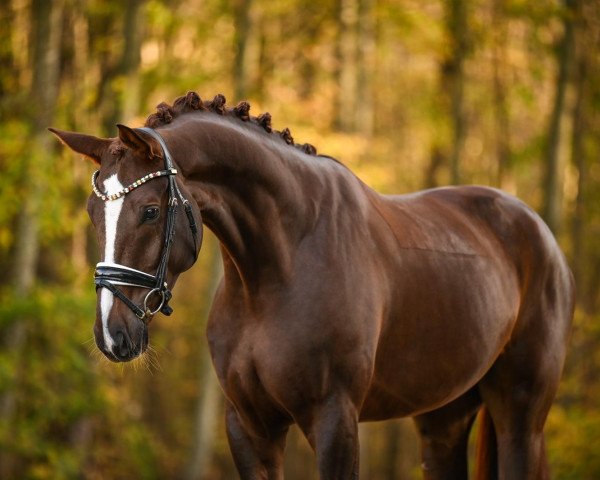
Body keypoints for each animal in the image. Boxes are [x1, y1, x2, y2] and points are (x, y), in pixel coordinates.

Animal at [50, 92, 572, 478]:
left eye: (150, 211)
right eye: (92, 213)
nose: (112, 335)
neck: (276, 273)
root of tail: (542, 235)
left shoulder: (334, 420)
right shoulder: (250, 425)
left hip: (520, 414)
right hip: (443, 417)